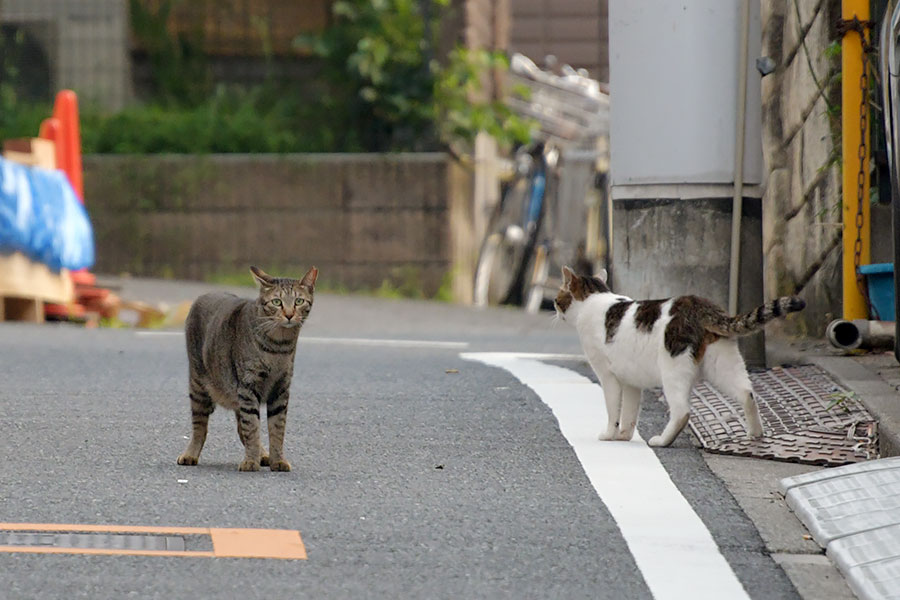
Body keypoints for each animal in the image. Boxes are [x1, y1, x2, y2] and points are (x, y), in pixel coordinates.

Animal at [176, 264, 316, 472]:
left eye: (298, 301)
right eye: (277, 302)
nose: (290, 315)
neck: (278, 346)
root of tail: (206, 293)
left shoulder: (281, 390)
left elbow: (276, 429)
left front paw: (277, 460)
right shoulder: (248, 387)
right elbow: (252, 427)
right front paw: (250, 461)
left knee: (240, 427)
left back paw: (263, 454)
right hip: (198, 386)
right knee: (200, 427)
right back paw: (190, 454)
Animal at [552, 266, 804, 446]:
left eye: (557, 299)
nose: (554, 308)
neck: (594, 299)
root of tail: (702, 305)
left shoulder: (608, 376)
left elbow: (613, 408)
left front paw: (609, 435)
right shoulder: (631, 381)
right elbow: (630, 412)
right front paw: (624, 435)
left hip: (673, 369)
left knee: (682, 411)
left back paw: (662, 440)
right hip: (723, 364)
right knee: (747, 394)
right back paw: (756, 434)